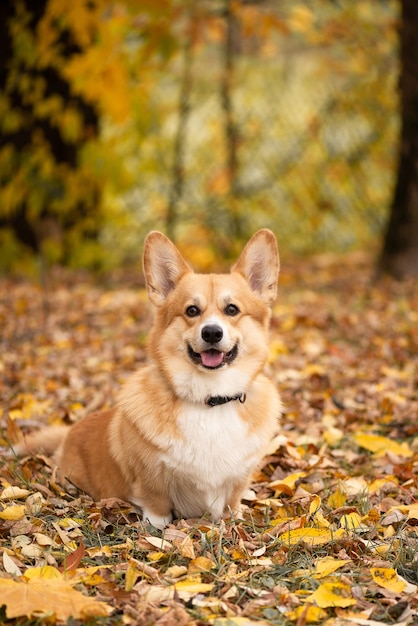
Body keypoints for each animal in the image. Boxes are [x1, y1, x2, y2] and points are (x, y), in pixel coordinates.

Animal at [9, 229, 282, 528]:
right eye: (191, 311)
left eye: (232, 309)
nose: (211, 333)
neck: (209, 398)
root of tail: (69, 431)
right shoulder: (151, 479)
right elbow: (157, 507)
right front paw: (157, 530)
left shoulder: (238, 479)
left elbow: (231, 503)